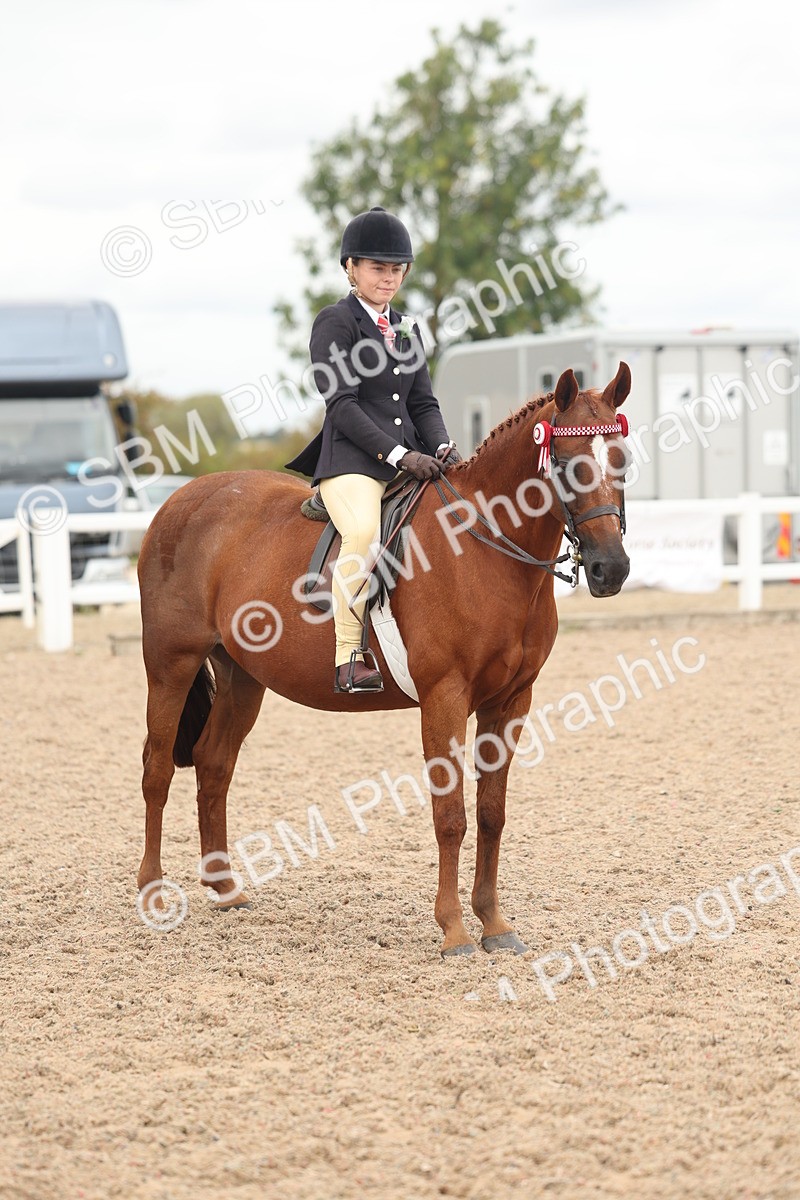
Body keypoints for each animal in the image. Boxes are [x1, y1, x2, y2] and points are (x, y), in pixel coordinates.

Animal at [136, 363, 631, 956]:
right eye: (563, 462)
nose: (610, 569)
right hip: (171, 665)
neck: (485, 549)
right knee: (158, 768)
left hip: (243, 678)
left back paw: (226, 888)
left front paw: (494, 924)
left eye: (623, 460)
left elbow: (491, 813)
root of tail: (180, 498)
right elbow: (451, 815)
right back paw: (153, 892)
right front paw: (454, 930)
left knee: (213, 764)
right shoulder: (445, 697)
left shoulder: (512, 699)